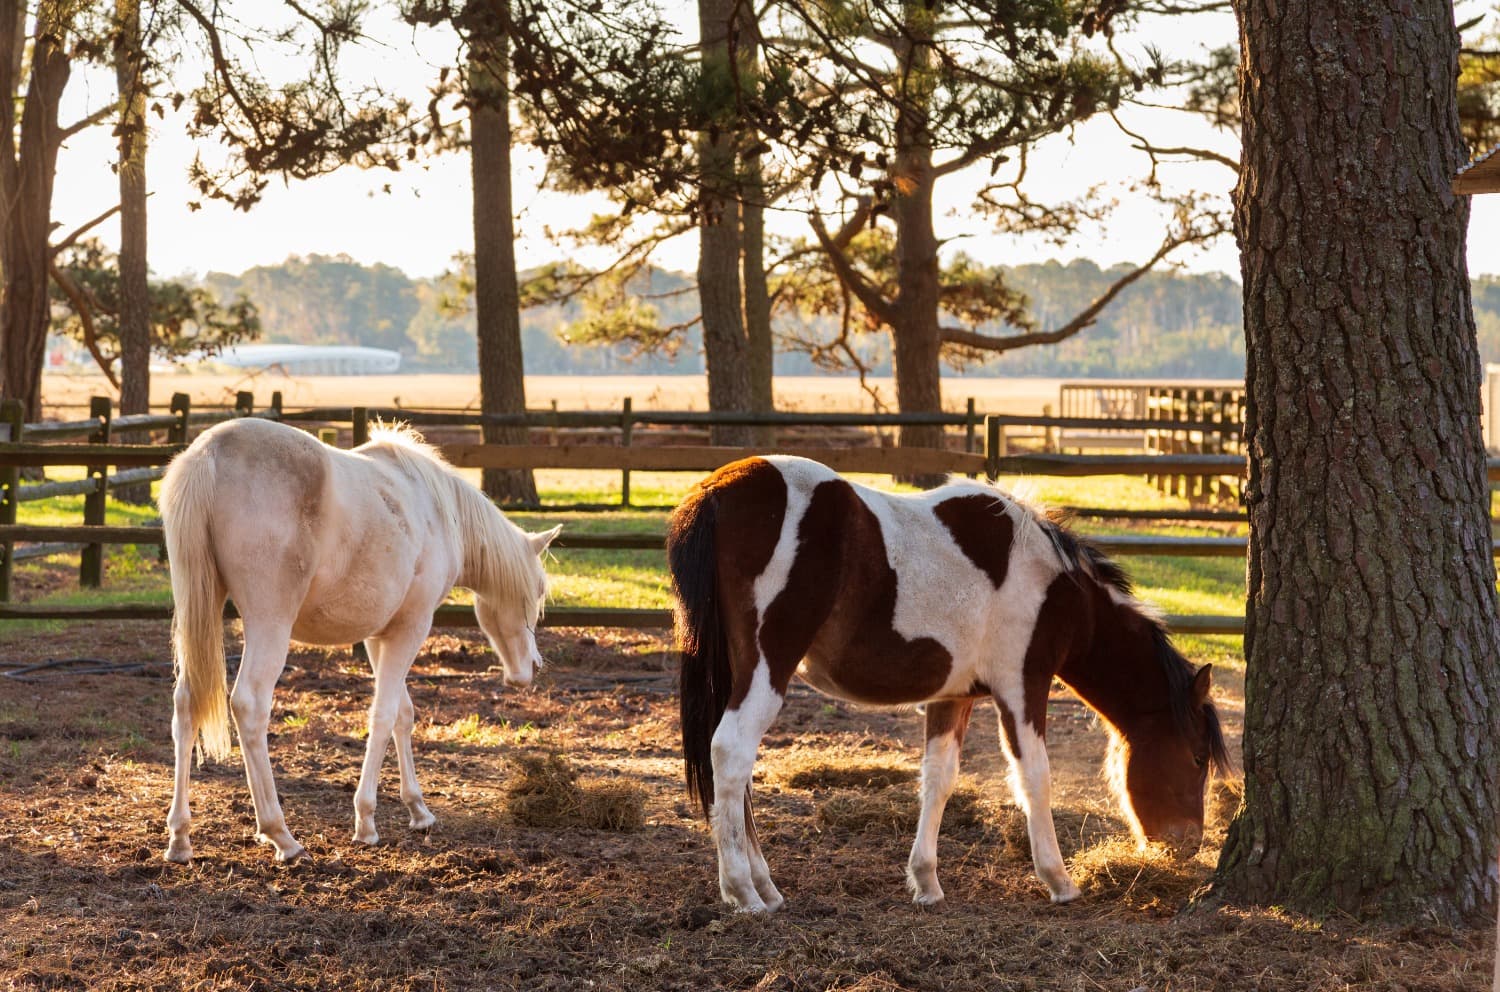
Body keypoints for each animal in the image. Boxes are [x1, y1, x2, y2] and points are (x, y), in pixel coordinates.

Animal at [158, 418, 560, 864]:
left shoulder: (377, 636)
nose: (530, 669)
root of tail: (211, 452)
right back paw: (281, 835)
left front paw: (418, 809)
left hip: (202, 608)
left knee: (186, 703)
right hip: (269, 622)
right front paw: (366, 821)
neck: (441, 513)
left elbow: (402, 713)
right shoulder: (411, 627)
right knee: (249, 704)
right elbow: (382, 716)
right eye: (538, 592)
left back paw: (180, 838)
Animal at [668, 456, 1231, 912]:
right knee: (731, 753)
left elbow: (938, 779)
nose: (1188, 844)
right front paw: (1059, 881)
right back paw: (743, 891)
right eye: (1197, 757)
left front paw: (926, 883)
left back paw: (766, 887)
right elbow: (1035, 777)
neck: (1057, 588)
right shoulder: (1022, 688)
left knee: (736, 772)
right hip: (767, 667)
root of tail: (715, 491)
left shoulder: (952, 698)